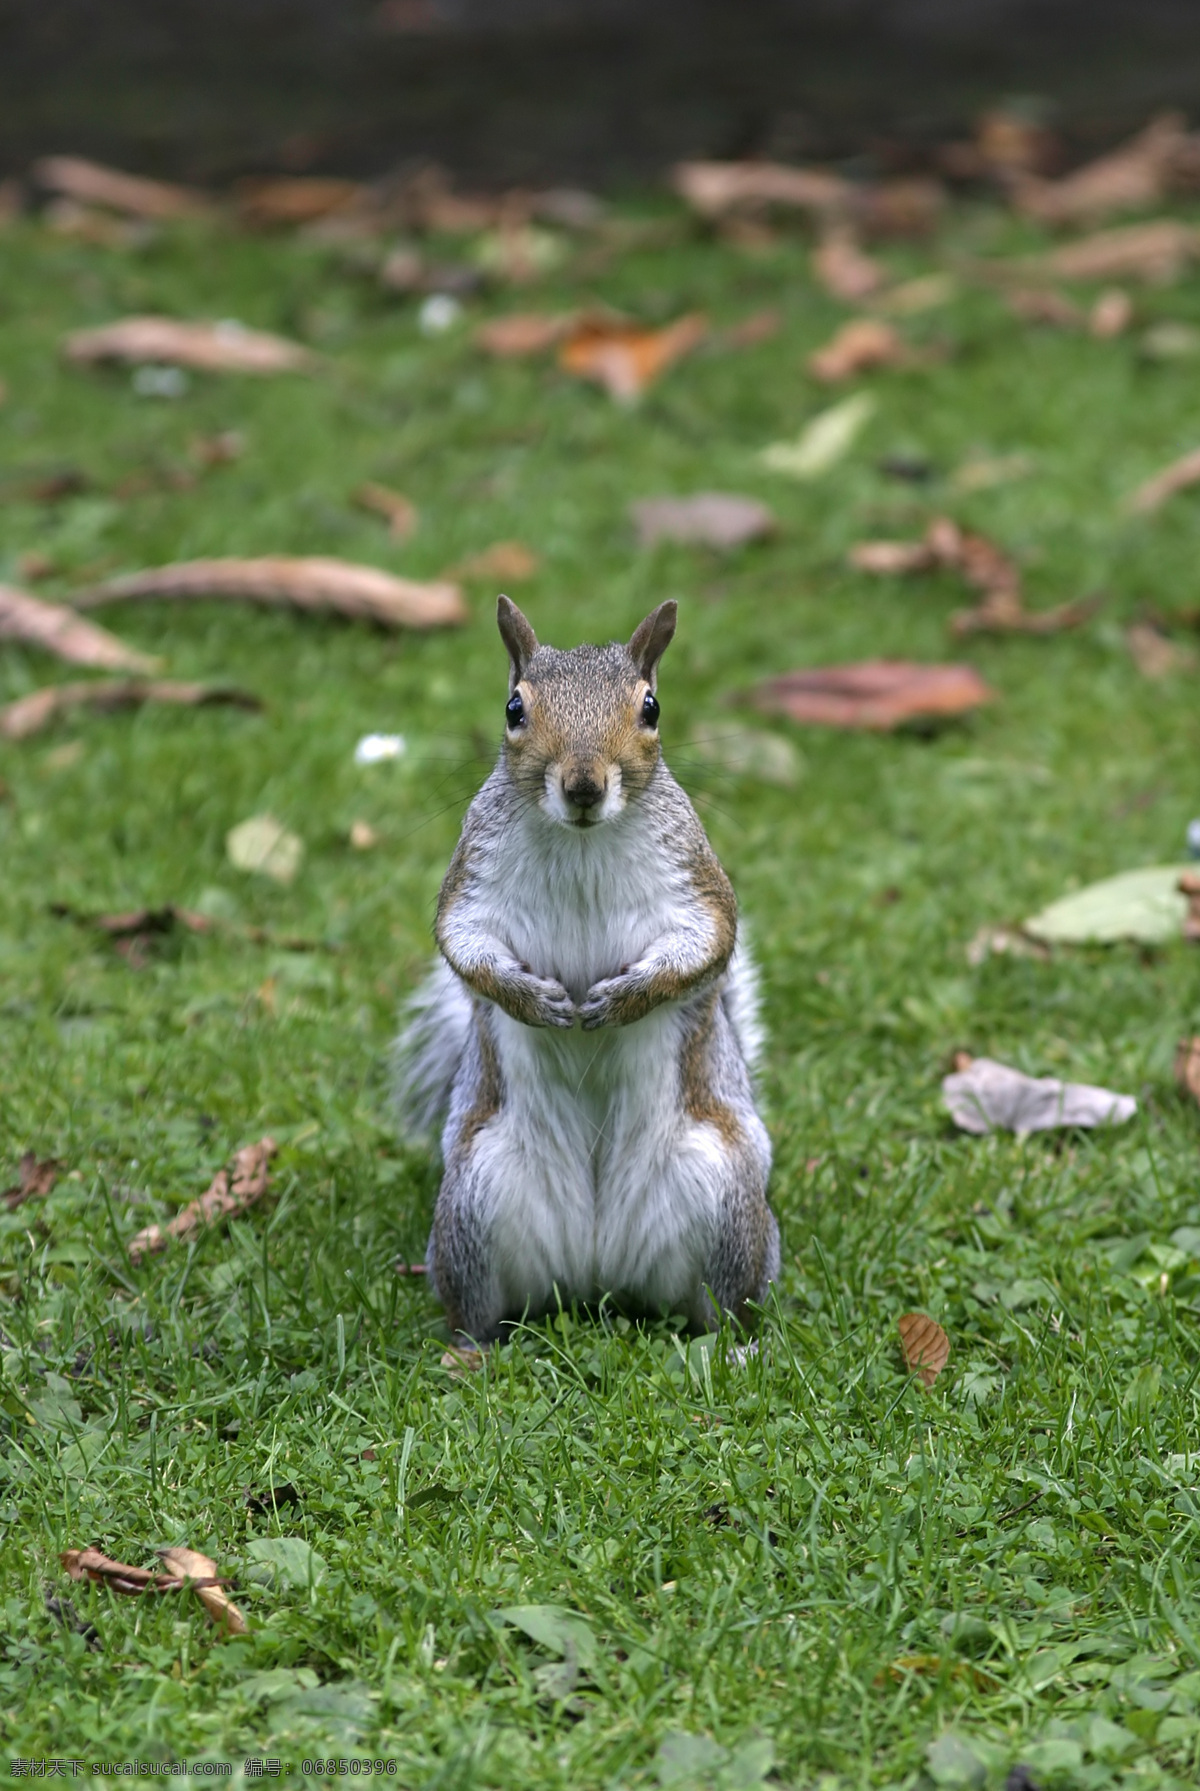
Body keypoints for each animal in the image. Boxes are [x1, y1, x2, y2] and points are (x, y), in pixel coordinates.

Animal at [394, 598, 780, 1346]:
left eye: (651, 708)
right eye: (514, 708)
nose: (582, 785)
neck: (581, 842)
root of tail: (599, 1271)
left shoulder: (696, 885)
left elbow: (707, 944)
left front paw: (625, 998)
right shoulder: (472, 883)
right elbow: (464, 944)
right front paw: (531, 998)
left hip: (727, 1203)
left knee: (728, 1305)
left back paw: (736, 1349)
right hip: (473, 1205)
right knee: (474, 1310)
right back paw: (467, 1351)